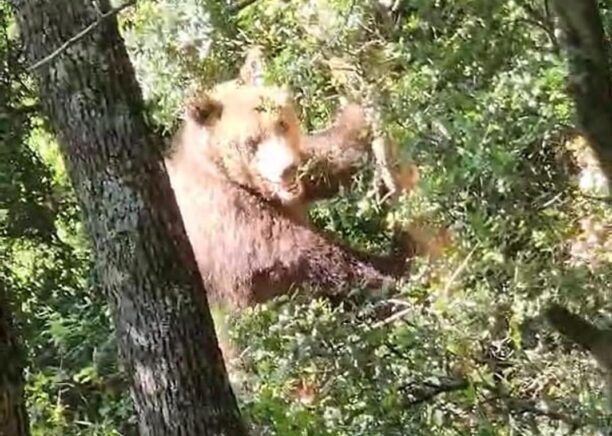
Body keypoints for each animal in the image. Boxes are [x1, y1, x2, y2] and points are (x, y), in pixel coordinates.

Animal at [165, 77, 414, 310]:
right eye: (250, 141)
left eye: (281, 124)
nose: (287, 169)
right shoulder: (231, 221)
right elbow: (301, 253)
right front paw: (394, 270)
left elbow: (326, 157)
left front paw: (361, 109)